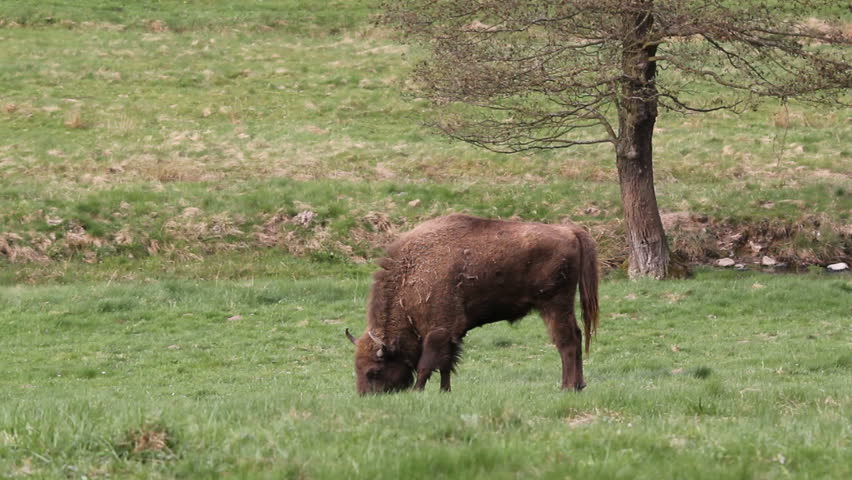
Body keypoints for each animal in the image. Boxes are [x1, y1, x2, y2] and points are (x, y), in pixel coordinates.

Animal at [346, 214, 599, 394]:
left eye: (374, 371)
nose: (365, 396)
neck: (412, 274)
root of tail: (569, 231)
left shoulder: (438, 331)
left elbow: (427, 364)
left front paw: (418, 392)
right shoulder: (451, 335)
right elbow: (446, 364)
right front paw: (445, 391)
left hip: (554, 305)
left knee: (566, 342)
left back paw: (567, 387)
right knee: (576, 337)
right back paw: (579, 385)